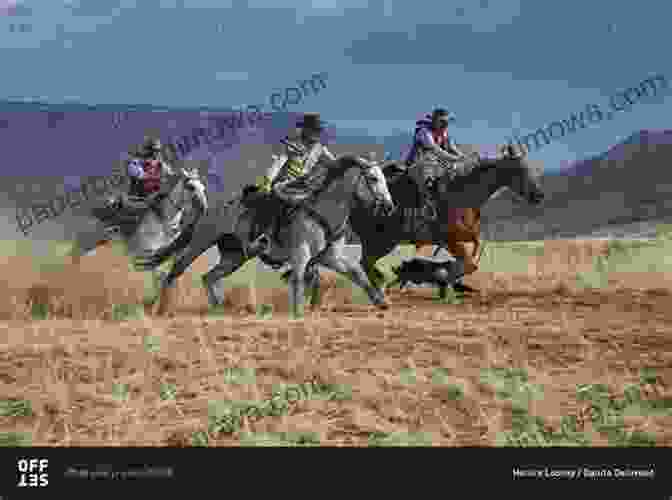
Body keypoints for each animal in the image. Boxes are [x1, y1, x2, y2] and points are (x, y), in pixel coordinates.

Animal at [66, 166, 207, 276]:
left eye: (203, 187)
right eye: (191, 187)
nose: (203, 207)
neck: (163, 220)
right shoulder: (143, 252)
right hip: (86, 243)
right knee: (74, 257)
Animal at [137, 155, 400, 316]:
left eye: (384, 178)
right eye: (373, 178)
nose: (389, 206)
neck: (320, 210)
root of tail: (207, 210)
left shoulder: (331, 258)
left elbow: (357, 274)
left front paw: (382, 302)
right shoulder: (300, 255)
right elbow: (298, 279)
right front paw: (298, 312)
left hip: (235, 256)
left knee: (209, 277)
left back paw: (219, 308)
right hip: (199, 244)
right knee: (174, 272)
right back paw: (159, 308)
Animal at [352, 144, 544, 300]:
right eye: (519, 170)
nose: (539, 195)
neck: (461, 195)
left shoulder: (467, 237)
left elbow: (471, 258)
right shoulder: (450, 240)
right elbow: (468, 264)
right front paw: (445, 281)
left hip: (381, 243)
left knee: (365, 263)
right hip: (380, 242)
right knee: (365, 263)